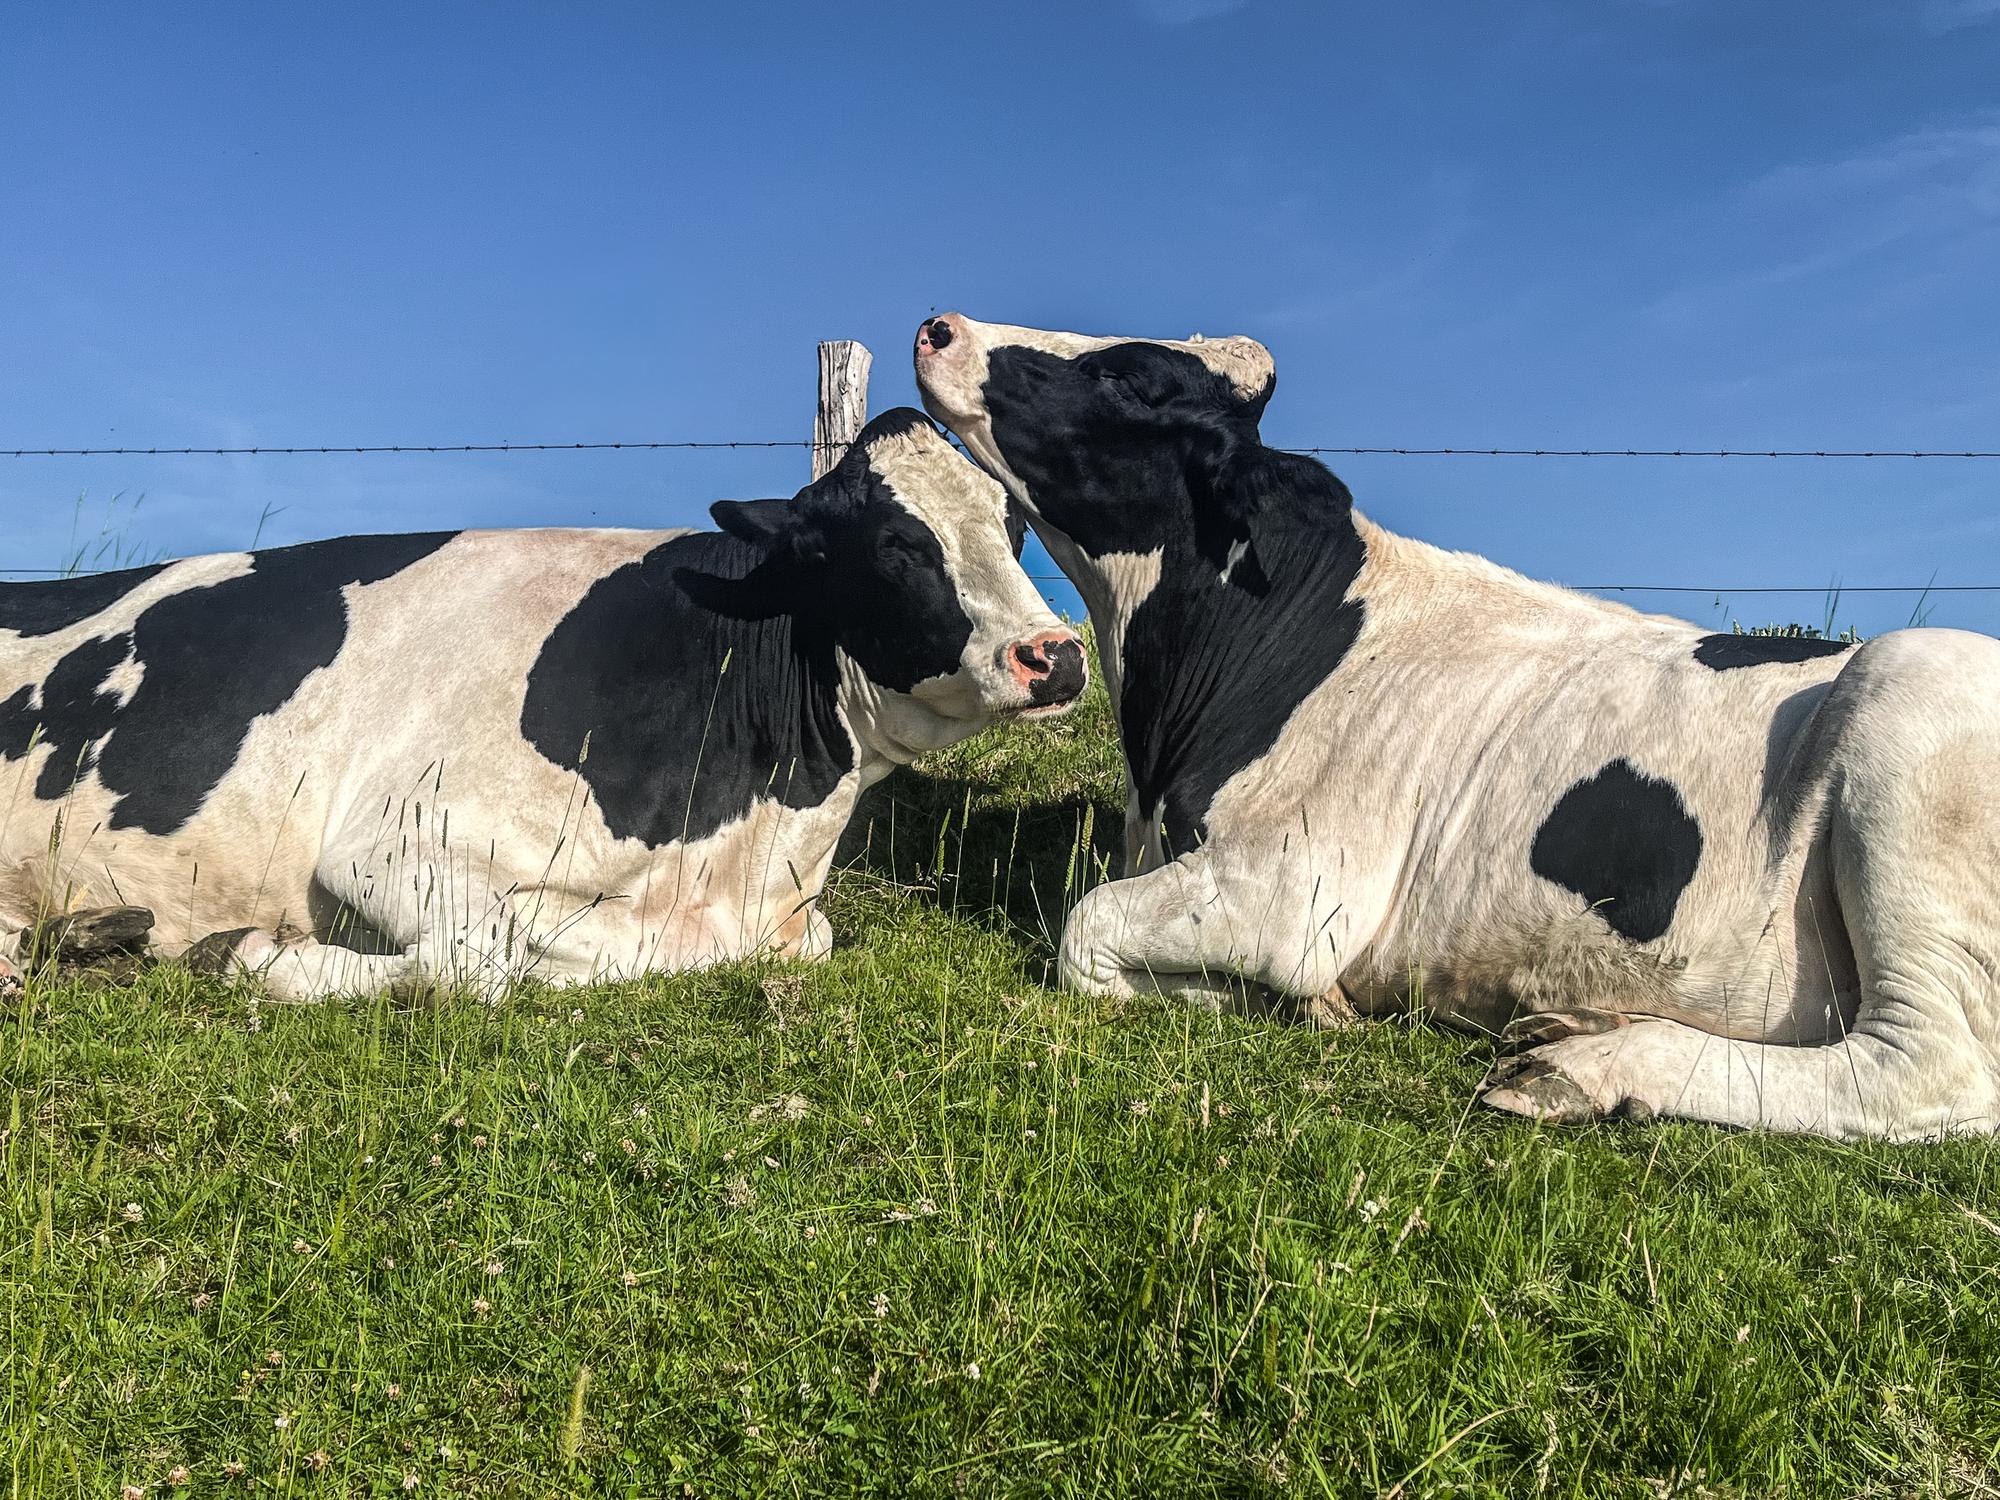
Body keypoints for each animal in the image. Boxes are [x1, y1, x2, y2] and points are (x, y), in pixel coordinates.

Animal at [0, 407, 1087, 1001]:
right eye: (896, 546)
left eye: (1012, 529)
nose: (1057, 656)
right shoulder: (391, 841)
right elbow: (482, 961)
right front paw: (250, 955)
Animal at [915, 312, 2000, 1142]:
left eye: (1127, 377)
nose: (939, 326)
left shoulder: (1292, 889)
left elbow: (1084, 931)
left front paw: (1299, 1002)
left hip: (1912, 726)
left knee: (1925, 1069)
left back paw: (1587, 1068)